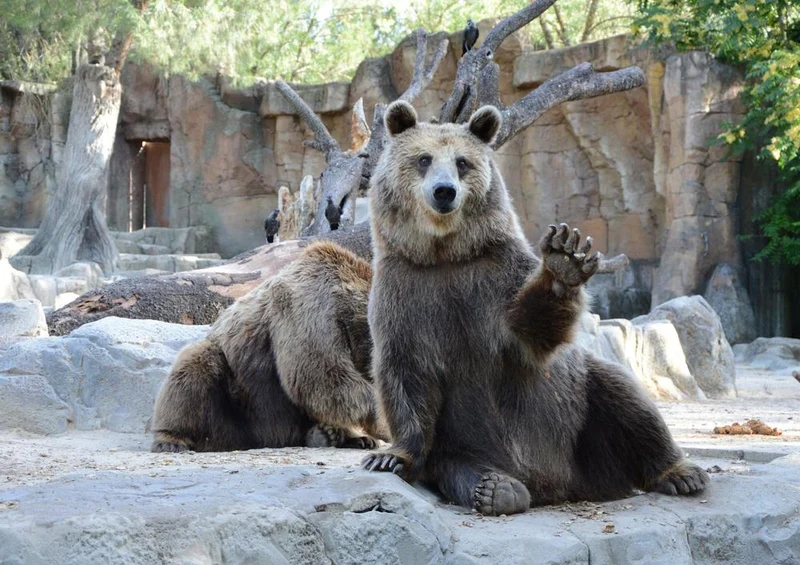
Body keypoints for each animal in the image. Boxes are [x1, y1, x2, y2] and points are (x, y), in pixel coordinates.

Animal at [151, 241, 389, 453]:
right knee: (194, 367)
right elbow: (320, 375)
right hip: (239, 404)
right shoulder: (310, 310)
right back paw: (171, 440)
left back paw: (338, 436)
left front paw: (362, 434)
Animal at [361, 100, 708, 516]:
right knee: (459, 466)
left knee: (627, 400)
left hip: (581, 417)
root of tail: (559, 485)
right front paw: (389, 457)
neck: (445, 255)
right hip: (462, 443)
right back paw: (497, 488)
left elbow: (531, 332)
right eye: (423, 159)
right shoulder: (406, 293)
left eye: (462, 162)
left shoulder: (494, 279)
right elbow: (405, 371)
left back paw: (681, 472)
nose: (444, 192)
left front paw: (564, 258)